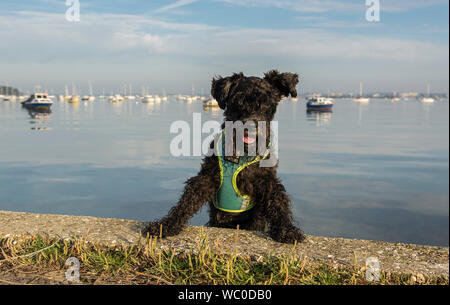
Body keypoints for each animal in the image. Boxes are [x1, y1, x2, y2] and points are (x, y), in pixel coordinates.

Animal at [145, 70, 306, 243]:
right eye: (238, 101)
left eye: (267, 103)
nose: (251, 128)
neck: (241, 154)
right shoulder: (207, 177)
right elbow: (187, 201)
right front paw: (166, 225)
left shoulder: (267, 181)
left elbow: (278, 202)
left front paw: (287, 230)